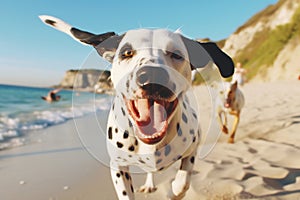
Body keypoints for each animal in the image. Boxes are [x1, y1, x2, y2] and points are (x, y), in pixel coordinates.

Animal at [38, 15, 234, 198]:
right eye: (126, 52)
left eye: (177, 54)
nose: (153, 75)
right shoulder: (118, 166)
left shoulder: (193, 148)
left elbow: (183, 182)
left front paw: (174, 191)